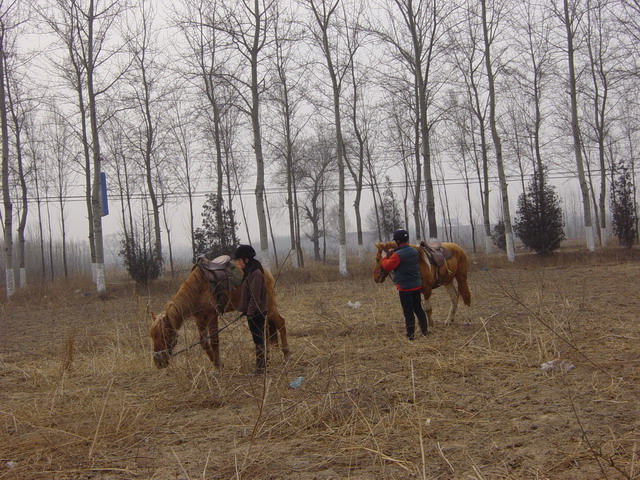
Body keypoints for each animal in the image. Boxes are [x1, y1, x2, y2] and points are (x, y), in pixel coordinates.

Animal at [150, 260, 290, 370]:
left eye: (165, 336)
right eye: (152, 336)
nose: (158, 362)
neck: (198, 290)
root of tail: (265, 271)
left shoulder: (212, 316)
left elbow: (214, 341)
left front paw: (217, 367)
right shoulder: (199, 318)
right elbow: (203, 342)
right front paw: (216, 363)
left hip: (270, 307)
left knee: (281, 324)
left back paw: (286, 355)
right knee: (265, 330)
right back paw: (267, 357)